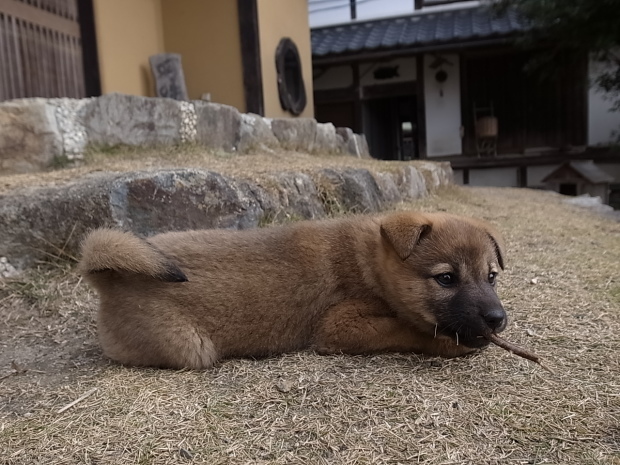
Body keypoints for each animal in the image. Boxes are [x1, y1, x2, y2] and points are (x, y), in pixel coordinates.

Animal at [78, 212, 504, 368]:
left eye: (491, 277)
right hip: (190, 348)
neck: (369, 261)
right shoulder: (339, 326)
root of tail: (109, 277)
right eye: (446, 279)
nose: (498, 319)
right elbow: (408, 329)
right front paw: (447, 342)